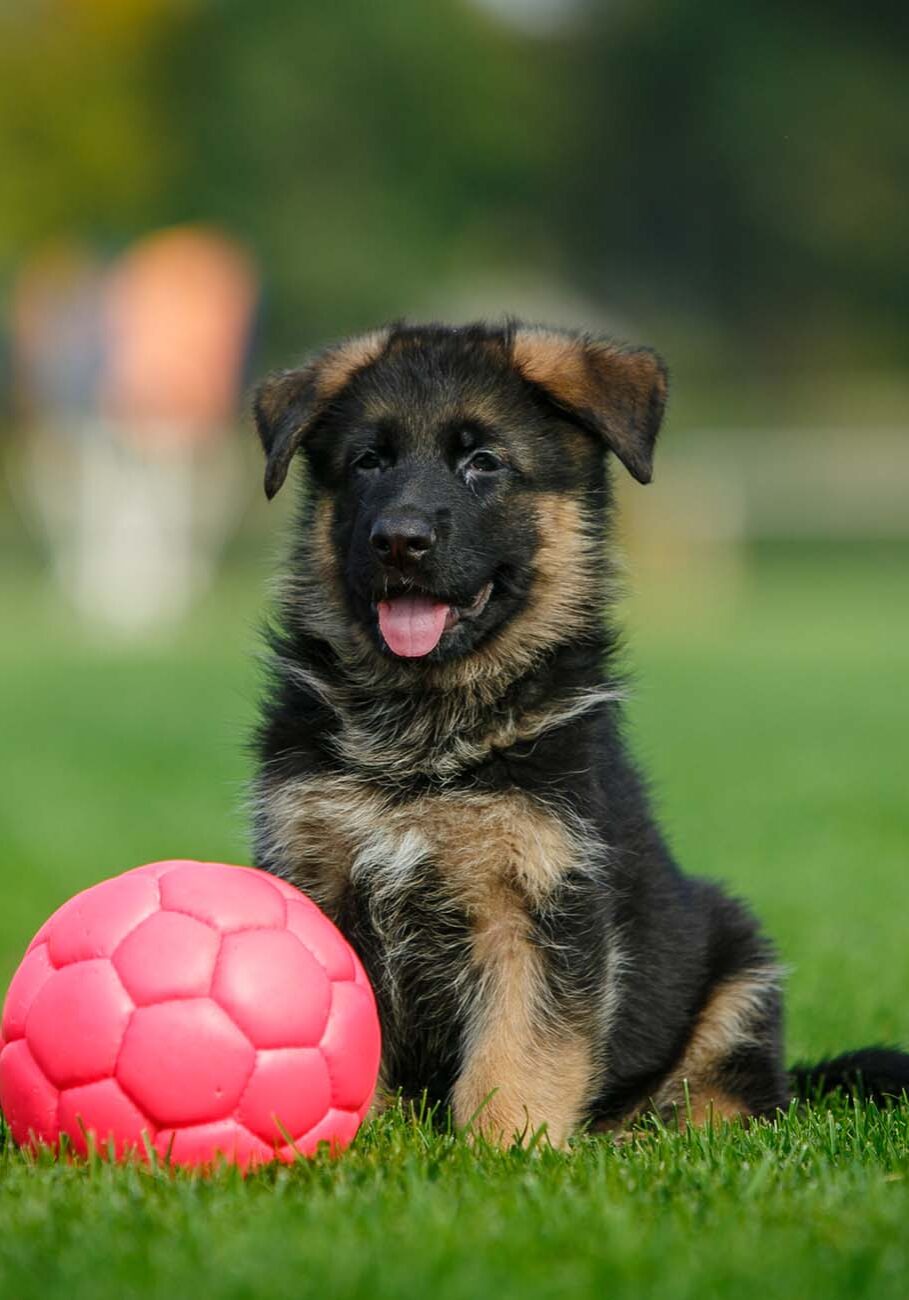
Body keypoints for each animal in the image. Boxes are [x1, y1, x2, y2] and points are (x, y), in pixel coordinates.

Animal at [250, 319, 909, 1144]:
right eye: (367, 461)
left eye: (483, 462)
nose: (397, 539)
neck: (426, 727)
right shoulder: (321, 878)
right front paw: (358, 1146)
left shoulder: (540, 904)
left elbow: (518, 1056)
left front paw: (508, 1152)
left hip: (738, 966)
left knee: (729, 1106)